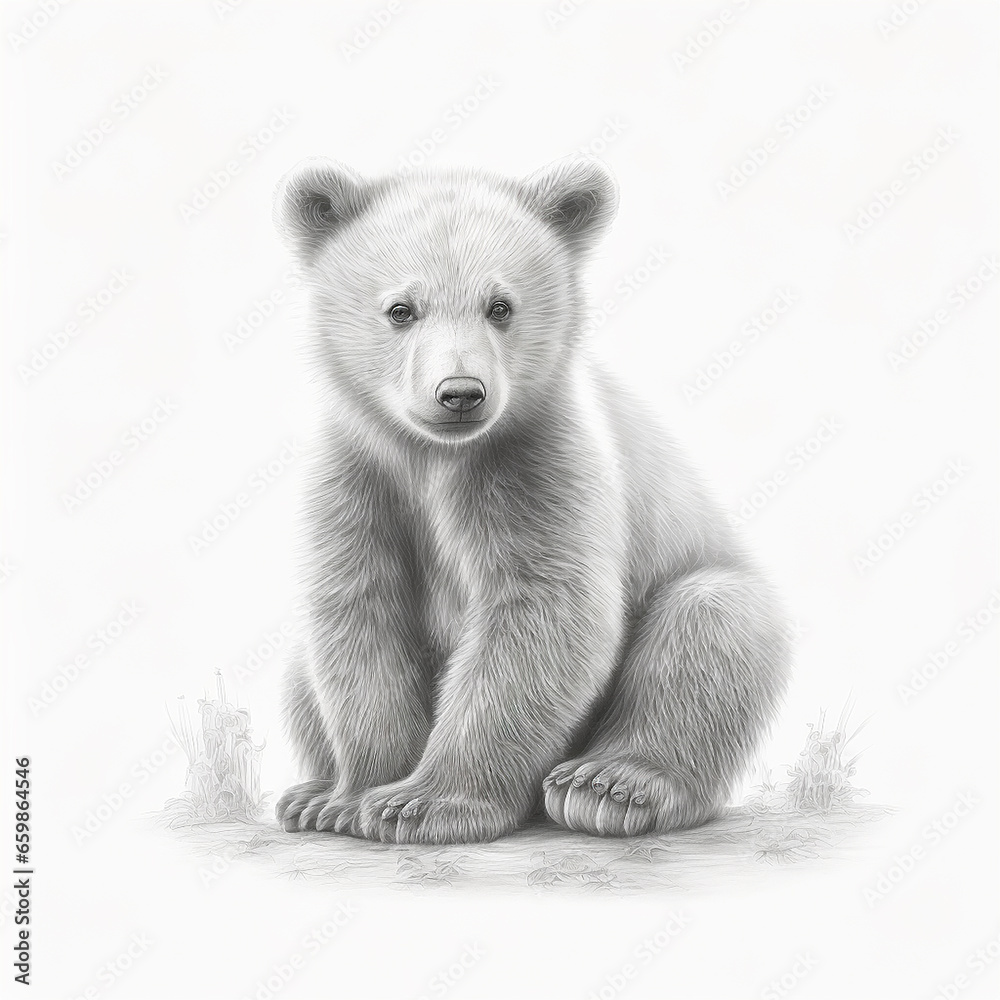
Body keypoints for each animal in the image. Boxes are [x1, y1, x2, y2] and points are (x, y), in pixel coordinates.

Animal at [272, 156, 790, 845]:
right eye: (401, 309)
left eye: (501, 305)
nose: (460, 392)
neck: (438, 457)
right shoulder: (360, 473)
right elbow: (359, 612)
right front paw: (353, 798)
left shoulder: (540, 459)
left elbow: (544, 609)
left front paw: (421, 803)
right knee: (298, 670)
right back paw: (309, 793)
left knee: (710, 619)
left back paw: (608, 785)